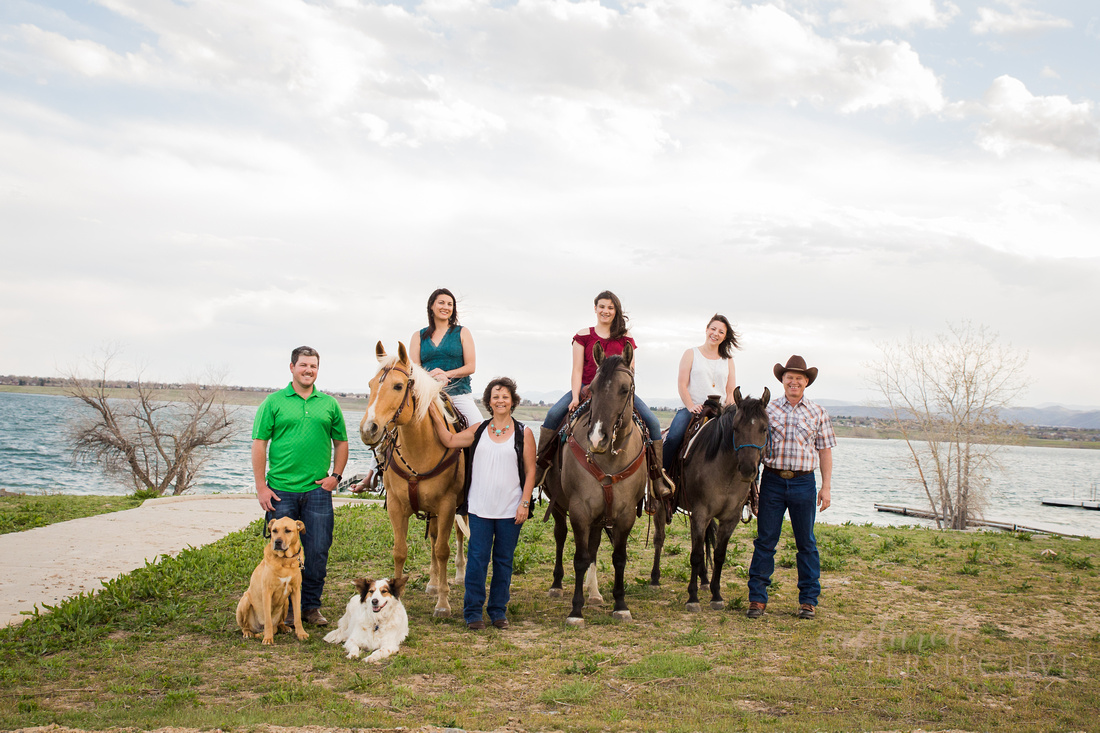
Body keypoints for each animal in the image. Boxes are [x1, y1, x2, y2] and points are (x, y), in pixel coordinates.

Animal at [358, 338, 466, 611]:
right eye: (371, 385)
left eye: (398, 386)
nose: (368, 429)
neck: (420, 448)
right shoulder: (397, 505)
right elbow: (400, 550)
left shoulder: (448, 504)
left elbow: (443, 550)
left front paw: (443, 603)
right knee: (434, 538)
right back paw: (433, 582)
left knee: (458, 537)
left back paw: (460, 575)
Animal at [543, 338, 646, 625]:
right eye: (592, 388)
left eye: (625, 389)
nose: (598, 439)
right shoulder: (580, 510)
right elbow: (579, 558)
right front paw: (575, 611)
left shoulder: (625, 515)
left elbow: (618, 558)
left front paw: (620, 605)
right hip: (559, 507)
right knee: (560, 536)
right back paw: (558, 586)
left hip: (600, 517)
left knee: (595, 545)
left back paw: (595, 594)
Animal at [646, 387, 770, 611]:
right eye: (735, 428)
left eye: (764, 429)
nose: (748, 470)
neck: (726, 472)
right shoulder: (701, 513)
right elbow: (695, 555)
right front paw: (692, 598)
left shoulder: (729, 518)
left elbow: (719, 554)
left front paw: (716, 595)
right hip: (661, 505)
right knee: (660, 539)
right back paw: (655, 578)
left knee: (702, 540)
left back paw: (704, 580)